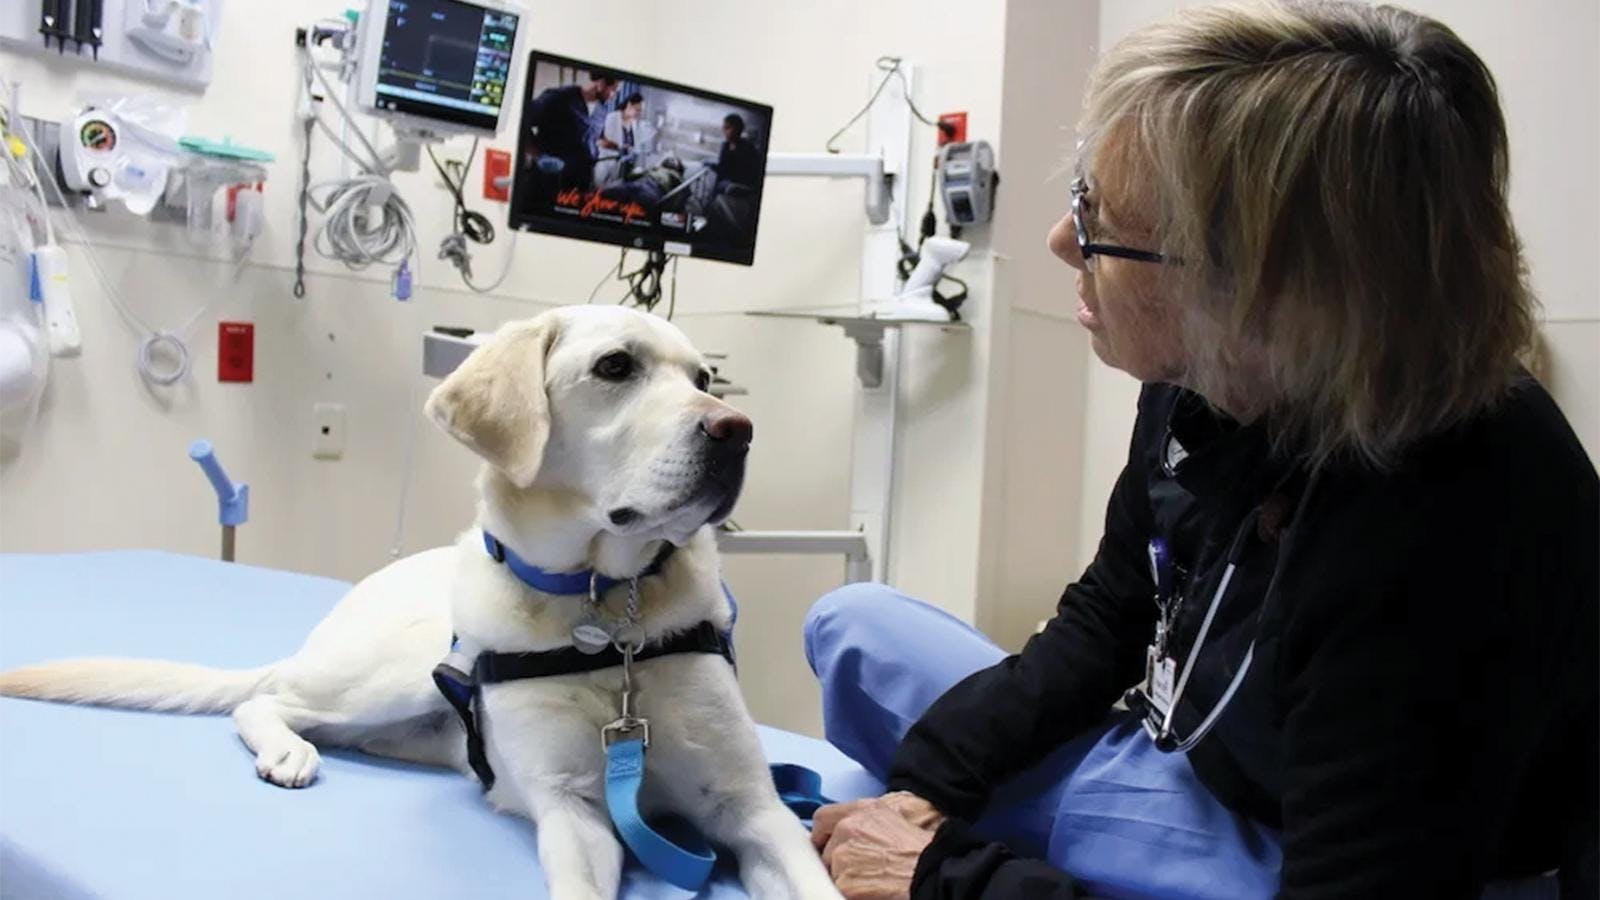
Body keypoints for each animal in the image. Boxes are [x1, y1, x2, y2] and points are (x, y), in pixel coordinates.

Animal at [0, 304, 844, 890]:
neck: (606, 615)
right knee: (263, 700)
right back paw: (286, 749)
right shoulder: (573, 811)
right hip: (391, 672)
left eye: (705, 380)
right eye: (614, 366)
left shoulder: (755, 809)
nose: (737, 430)